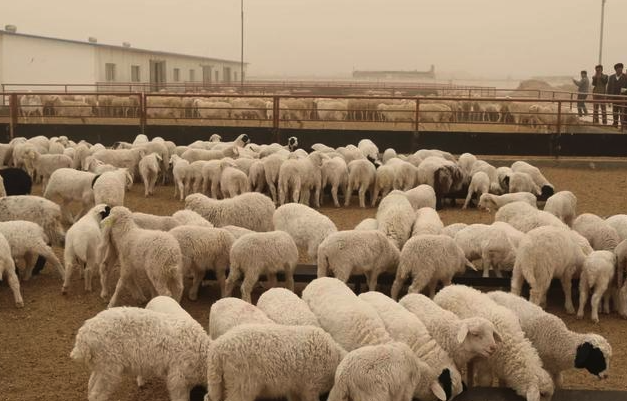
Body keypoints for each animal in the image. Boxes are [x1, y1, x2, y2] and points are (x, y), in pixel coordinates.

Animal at [70, 306, 210, 400]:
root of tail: (83, 337)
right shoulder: (178, 377)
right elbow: (180, 397)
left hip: (100, 365)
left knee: (91, 386)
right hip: (109, 368)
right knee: (97, 395)